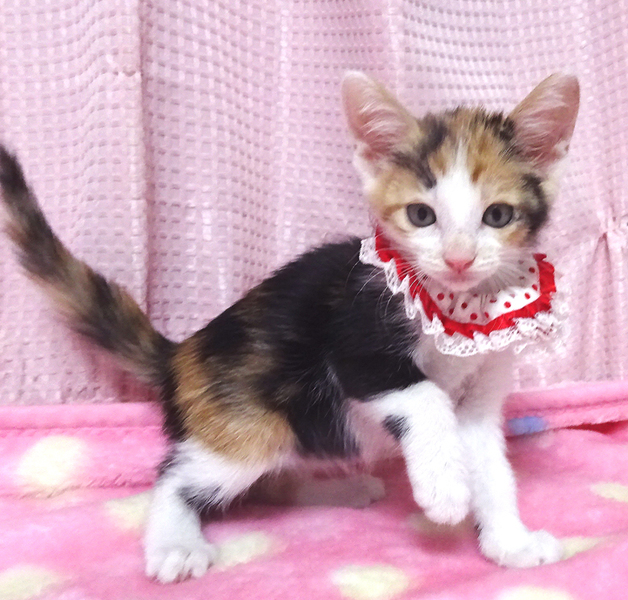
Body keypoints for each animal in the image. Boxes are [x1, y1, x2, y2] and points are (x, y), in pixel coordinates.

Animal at [0, 70, 579, 583]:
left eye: (497, 216)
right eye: (421, 215)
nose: (459, 259)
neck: (454, 306)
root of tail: (179, 354)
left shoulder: (484, 386)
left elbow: (489, 460)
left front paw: (511, 543)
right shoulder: (353, 342)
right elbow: (424, 396)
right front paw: (445, 489)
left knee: (271, 480)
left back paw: (342, 490)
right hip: (252, 418)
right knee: (180, 476)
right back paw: (175, 543)